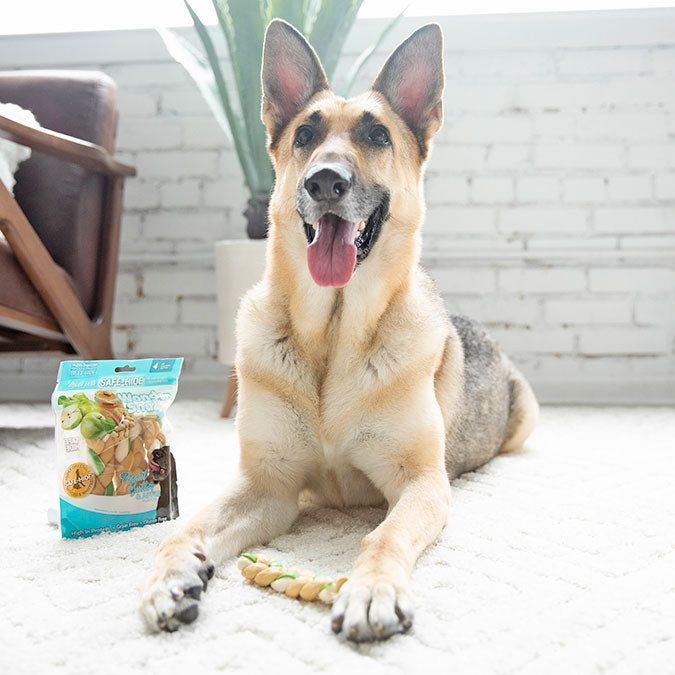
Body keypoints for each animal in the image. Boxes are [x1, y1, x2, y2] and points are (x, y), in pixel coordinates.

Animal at [141, 18, 540, 640]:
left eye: (378, 135)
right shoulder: (268, 487)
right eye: (305, 134)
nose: (325, 181)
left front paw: (372, 590)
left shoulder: (421, 485)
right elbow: (188, 526)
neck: (331, 334)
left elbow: (383, 535)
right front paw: (171, 574)